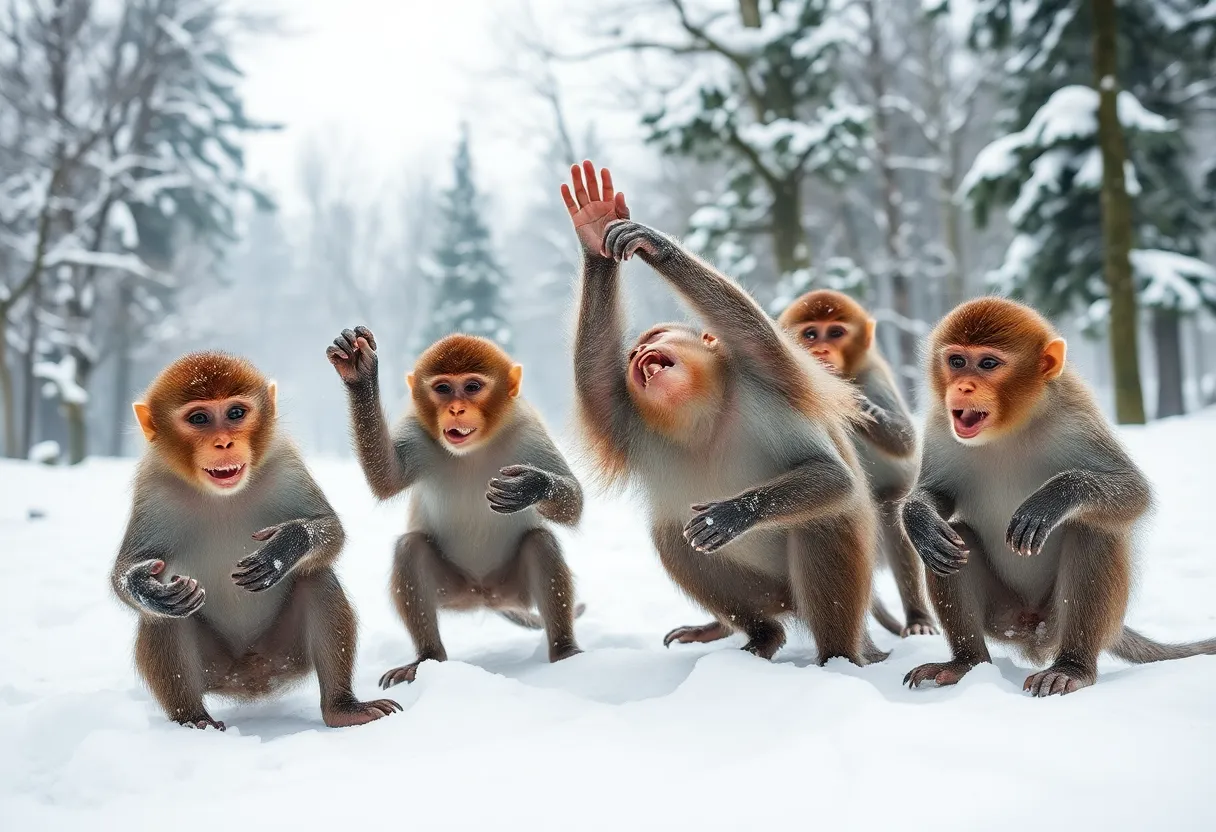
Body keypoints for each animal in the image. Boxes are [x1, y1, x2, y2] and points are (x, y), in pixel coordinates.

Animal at [110, 352, 401, 729]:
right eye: (199, 418)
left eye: (236, 413)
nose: (224, 443)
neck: (222, 496)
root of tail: (249, 677)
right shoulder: (153, 490)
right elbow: (127, 571)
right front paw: (146, 585)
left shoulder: (286, 465)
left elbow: (331, 531)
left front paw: (285, 547)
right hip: (217, 668)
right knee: (166, 615)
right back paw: (195, 720)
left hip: (283, 654)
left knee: (315, 577)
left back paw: (342, 708)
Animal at [328, 328, 585, 688]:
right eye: (443, 388)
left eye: (472, 387)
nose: (456, 410)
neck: (474, 449)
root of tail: (484, 594)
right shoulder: (418, 431)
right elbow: (387, 477)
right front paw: (359, 371)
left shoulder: (530, 433)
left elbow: (574, 502)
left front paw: (532, 486)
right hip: (455, 590)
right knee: (411, 548)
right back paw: (427, 657)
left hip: (511, 585)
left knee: (540, 543)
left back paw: (564, 651)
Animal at [562, 160, 884, 666]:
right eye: (634, 349)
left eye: (655, 337)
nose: (639, 353)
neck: (702, 416)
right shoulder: (629, 421)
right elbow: (596, 385)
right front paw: (595, 236)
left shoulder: (765, 380)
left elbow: (833, 476)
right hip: (769, 595)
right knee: (673, 533)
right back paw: (761, 636)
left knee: (824, 518)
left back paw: (837, 658)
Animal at [777, 289, 936, 637]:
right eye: (811, 334)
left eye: (836, 332)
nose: (822, 350)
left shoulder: (873, 376)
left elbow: (907, 440)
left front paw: (860, 407)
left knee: (891, 510)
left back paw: (917, 618)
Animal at [901, 297, 1216, 696]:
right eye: (957, 361)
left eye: (988, 364)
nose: (963, 387)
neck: (1010, 427)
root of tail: (1030, 627)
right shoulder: (941, 427)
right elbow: (938, 497)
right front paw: (919, 519)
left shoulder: (1077, 419)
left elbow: (1134, 491)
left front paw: (1054, 499)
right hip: (1003, 616)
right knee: (953, 540)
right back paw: (965, 662)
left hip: (1058, 622)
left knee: (1092, 529)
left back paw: (1072, 667)